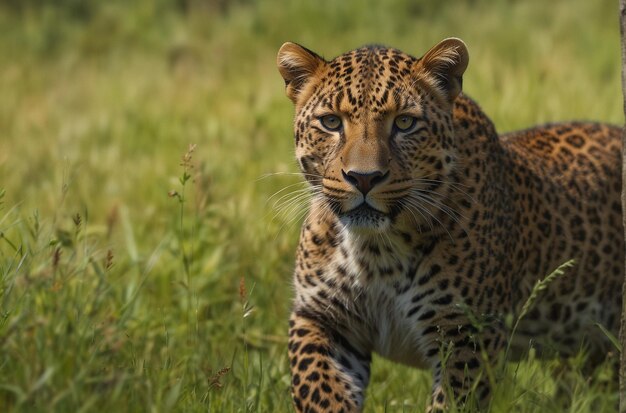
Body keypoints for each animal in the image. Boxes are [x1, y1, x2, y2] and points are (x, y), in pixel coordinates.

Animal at [276, 37, 620, 410]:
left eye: (405, 123)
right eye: (331, 122)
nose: (364, 178)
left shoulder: (468, 335)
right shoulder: (320, 318)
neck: (374, 251)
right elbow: (318, 391)